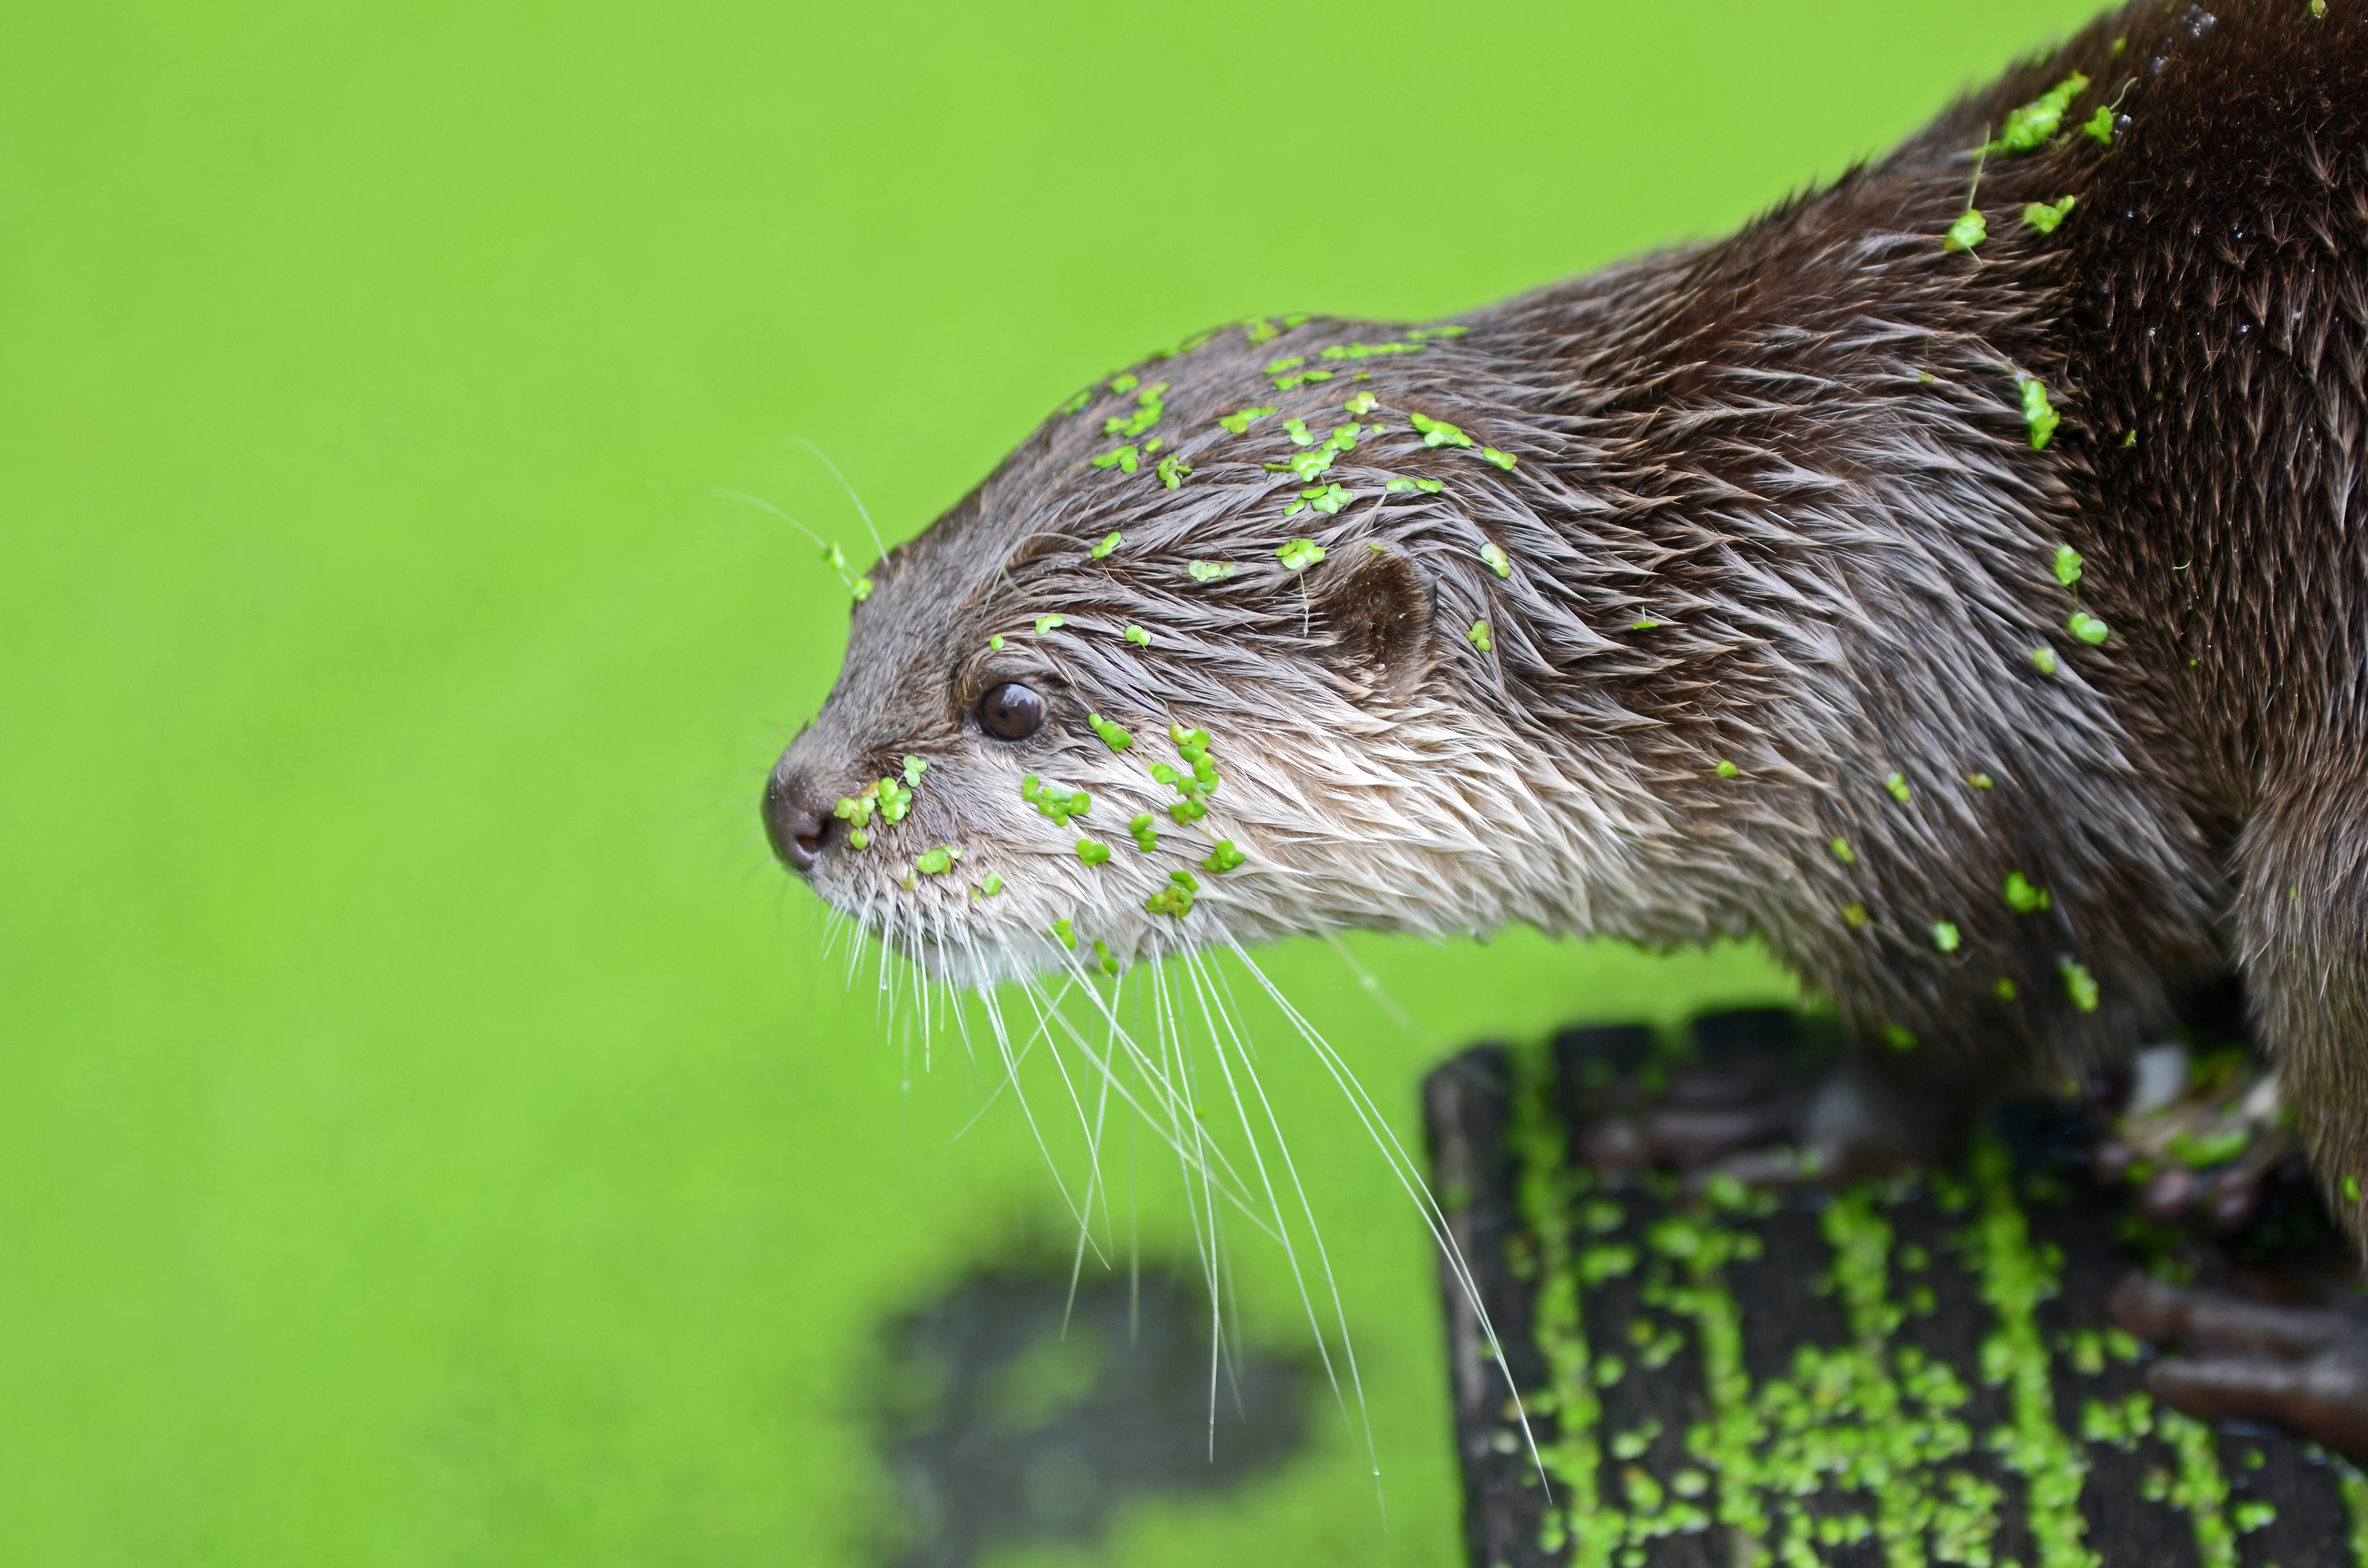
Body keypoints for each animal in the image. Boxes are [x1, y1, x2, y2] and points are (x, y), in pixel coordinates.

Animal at [765, 0, 2368, 1458]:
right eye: (872, 594)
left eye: (1011, 703)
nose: (792, 807)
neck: (1758, 549)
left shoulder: (1961, 733)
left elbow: (2000, 1002)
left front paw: (1769, 1100)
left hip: (2327, 858)